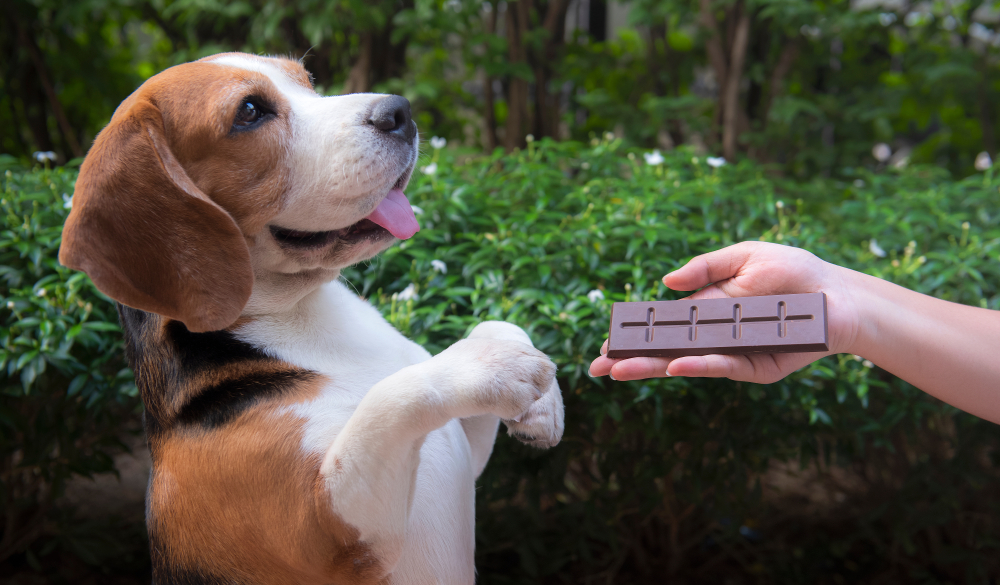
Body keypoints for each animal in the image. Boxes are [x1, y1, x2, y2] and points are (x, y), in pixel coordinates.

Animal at [58, 52, 568, 580]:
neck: (302, 314)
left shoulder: (467, 453)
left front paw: (541, 404)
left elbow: (495, 325)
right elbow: (389, 398)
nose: (400, 111)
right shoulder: (327, 528)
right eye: (249, 112)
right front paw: (491, 365)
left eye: (307, 82)